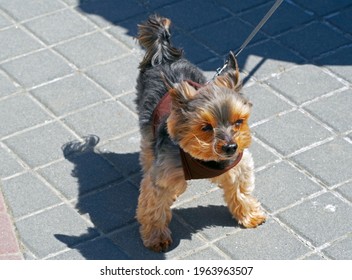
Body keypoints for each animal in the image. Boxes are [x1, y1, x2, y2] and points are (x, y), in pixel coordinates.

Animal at [134, 14, 264, 252]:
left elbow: (241, 190)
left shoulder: (238, 164)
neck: (207, 160)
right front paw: (156, 237)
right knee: (148, 153)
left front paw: (250, 215)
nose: (230, 147)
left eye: (239, 122)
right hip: (147, 128)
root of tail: (164, 57)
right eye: (206, 128)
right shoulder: (164, 174)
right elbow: (154, 205)